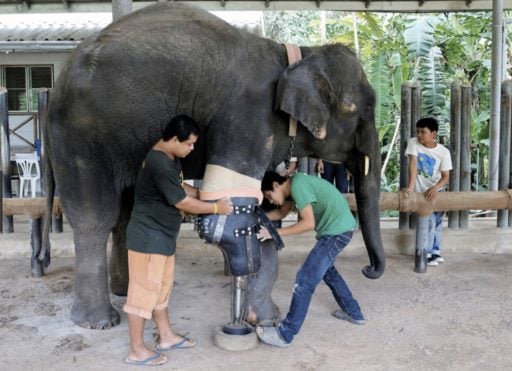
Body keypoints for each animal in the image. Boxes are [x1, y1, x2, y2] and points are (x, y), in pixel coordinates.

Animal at [42, 1, 384, 330]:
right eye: (366, 107)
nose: (369, 269)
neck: (294, 54)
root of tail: (54, 90)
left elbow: (258, 207)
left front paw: (260, 315)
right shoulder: (247, 116)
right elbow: (238, 213)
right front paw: (265, 319)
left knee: (124, 213)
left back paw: (125, 292)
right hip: (81, 138)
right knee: (94, 217)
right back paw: (98, 321)